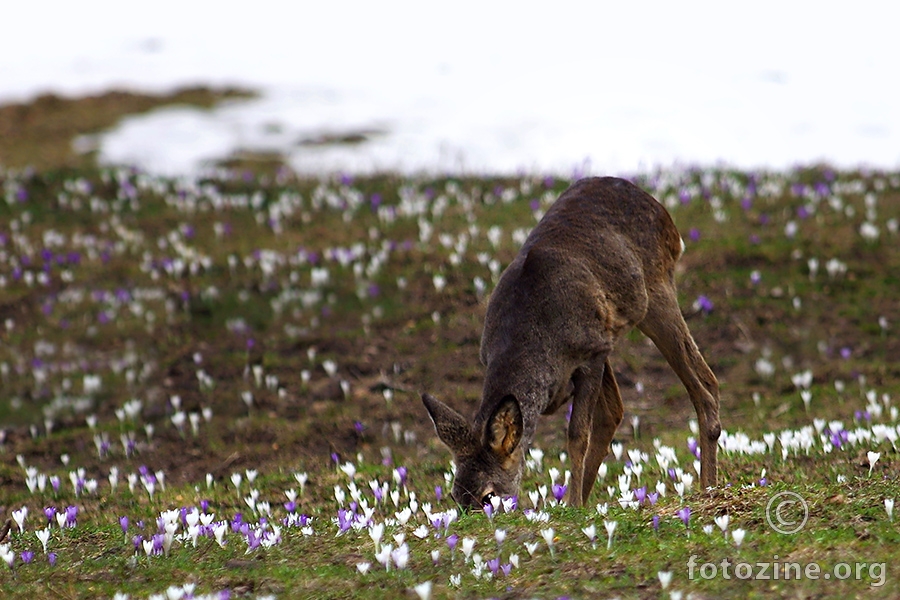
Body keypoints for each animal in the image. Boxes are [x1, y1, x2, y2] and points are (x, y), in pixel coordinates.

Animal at [422, 176, 724, 508]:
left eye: (488, 495)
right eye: (455, 496)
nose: (476, 518)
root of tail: (661, 211)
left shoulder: (590, 354)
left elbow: (577, 434)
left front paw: (574, 505)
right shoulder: (598, 347)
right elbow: (604, 418)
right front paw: (576, 502)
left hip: (656, 292)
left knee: (703, 385)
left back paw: (708, 487)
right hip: (613, 330)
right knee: (628, 407)